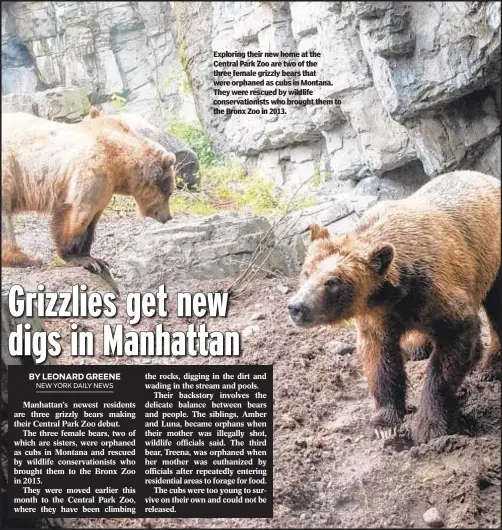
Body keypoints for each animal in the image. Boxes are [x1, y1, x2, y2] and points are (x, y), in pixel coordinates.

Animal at [0, 108, 177, 272]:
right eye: (169, 192)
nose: (168, 217)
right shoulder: (91, 171)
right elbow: (78, 213)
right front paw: (80, 258)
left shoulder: (106, 187)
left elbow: (92, 221)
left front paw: (95, 258)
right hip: (8, 167)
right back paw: (25, 257)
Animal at [288, 169, 500, 442]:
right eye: (306, 272)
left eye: (332, 281)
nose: (296, 307)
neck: (395, 293)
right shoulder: (377, 315)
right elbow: (380, 359)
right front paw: (385, 422)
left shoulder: (438, 294)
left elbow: (454, 348)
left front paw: (429, 425)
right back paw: (417, 345)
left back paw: (491, 367)